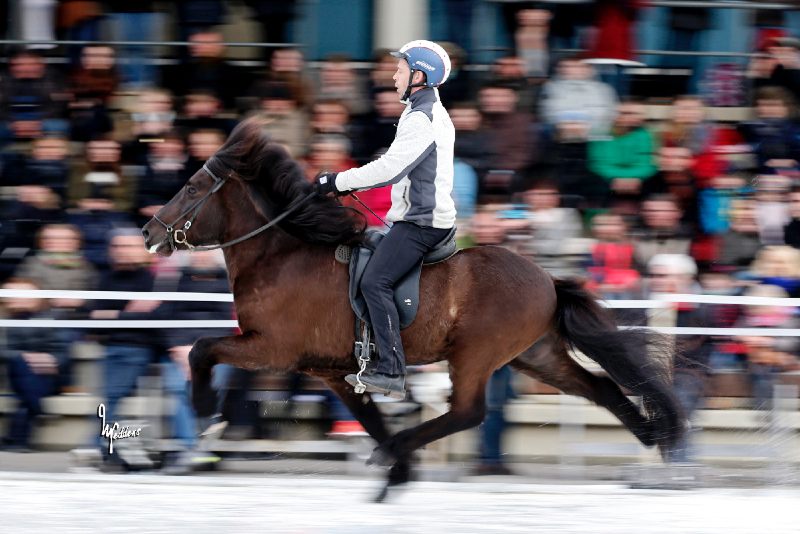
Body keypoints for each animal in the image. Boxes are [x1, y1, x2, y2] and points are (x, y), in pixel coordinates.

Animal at [141, 119, 684, 500]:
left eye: (192, 187)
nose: (148, 232)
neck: (282, 254)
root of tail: (546, 278)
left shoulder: (272, 349)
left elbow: (201, 348)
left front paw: (205, 412)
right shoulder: (330, 369)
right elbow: (365, 415)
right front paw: (396, 475)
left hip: (475, 354)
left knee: (467, 412)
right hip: (537, 355)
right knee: (600, 387)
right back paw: (652, 433)